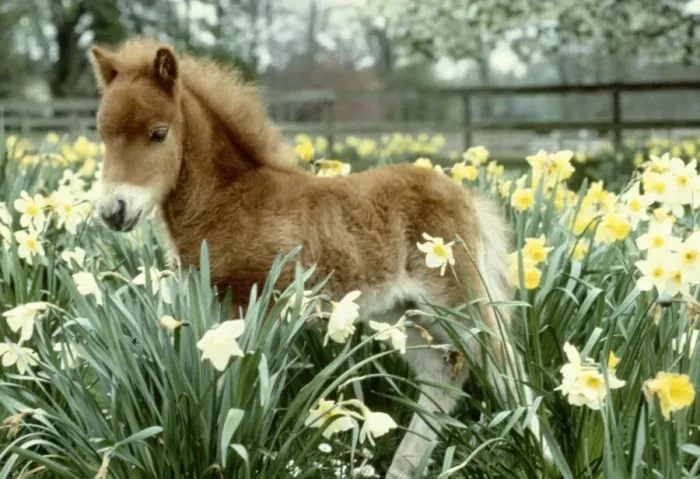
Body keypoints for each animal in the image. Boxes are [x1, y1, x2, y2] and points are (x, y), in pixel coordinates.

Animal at [88, 37, 548, 478]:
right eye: (104, 136)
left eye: (158, 133)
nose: (113, 211)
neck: (233, 201)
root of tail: (463, 194)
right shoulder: (215, 313)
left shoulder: (259, 306)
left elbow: (244, 394)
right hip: (406, 313)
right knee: (443, 377)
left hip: (462, 304)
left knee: (508, 374)